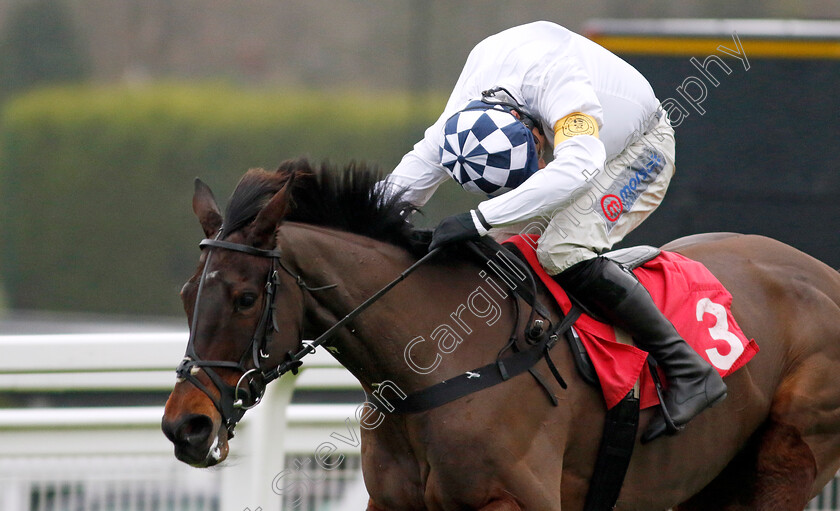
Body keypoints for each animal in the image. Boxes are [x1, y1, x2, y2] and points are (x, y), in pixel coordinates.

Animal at [162, 158, 840, 510]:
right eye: (187, 296)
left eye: (245, 298)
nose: (185, 426)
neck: (434, 367)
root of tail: (824, 274)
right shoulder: (393, 504)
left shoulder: (517, 503)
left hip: (786, 461)